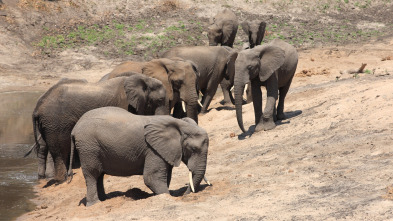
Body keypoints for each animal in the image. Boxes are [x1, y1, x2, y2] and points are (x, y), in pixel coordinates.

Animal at [30, 74, 165, 183]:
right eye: (160, 100)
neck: (144, 78)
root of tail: (37, 107)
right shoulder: (125, 103)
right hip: (55, 121)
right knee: (59, 150)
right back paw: (62, 180)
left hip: (47, 124)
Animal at [68, 107, 208, 207]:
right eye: (193, 149)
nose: (186, 194)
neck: (180, 124)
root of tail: (74, 129)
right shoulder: (152, 149)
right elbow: (152, 177)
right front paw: (167, 196)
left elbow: (165, 176)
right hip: (88, 147)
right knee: (92, 174)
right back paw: (95, 204)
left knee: (99, 175)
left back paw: (105, 200)